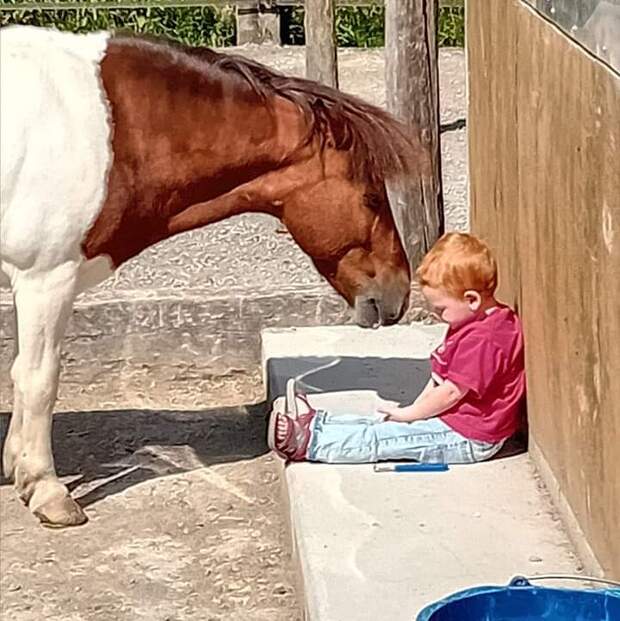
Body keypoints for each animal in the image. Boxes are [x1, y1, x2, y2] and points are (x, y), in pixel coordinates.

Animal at [0, 26, 426, 524]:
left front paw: (15, 465)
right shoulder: (45, 279)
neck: (110, 127)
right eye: (372, 199)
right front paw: (45, 488)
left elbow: (21, 375)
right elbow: (39, 378)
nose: (400, 290)